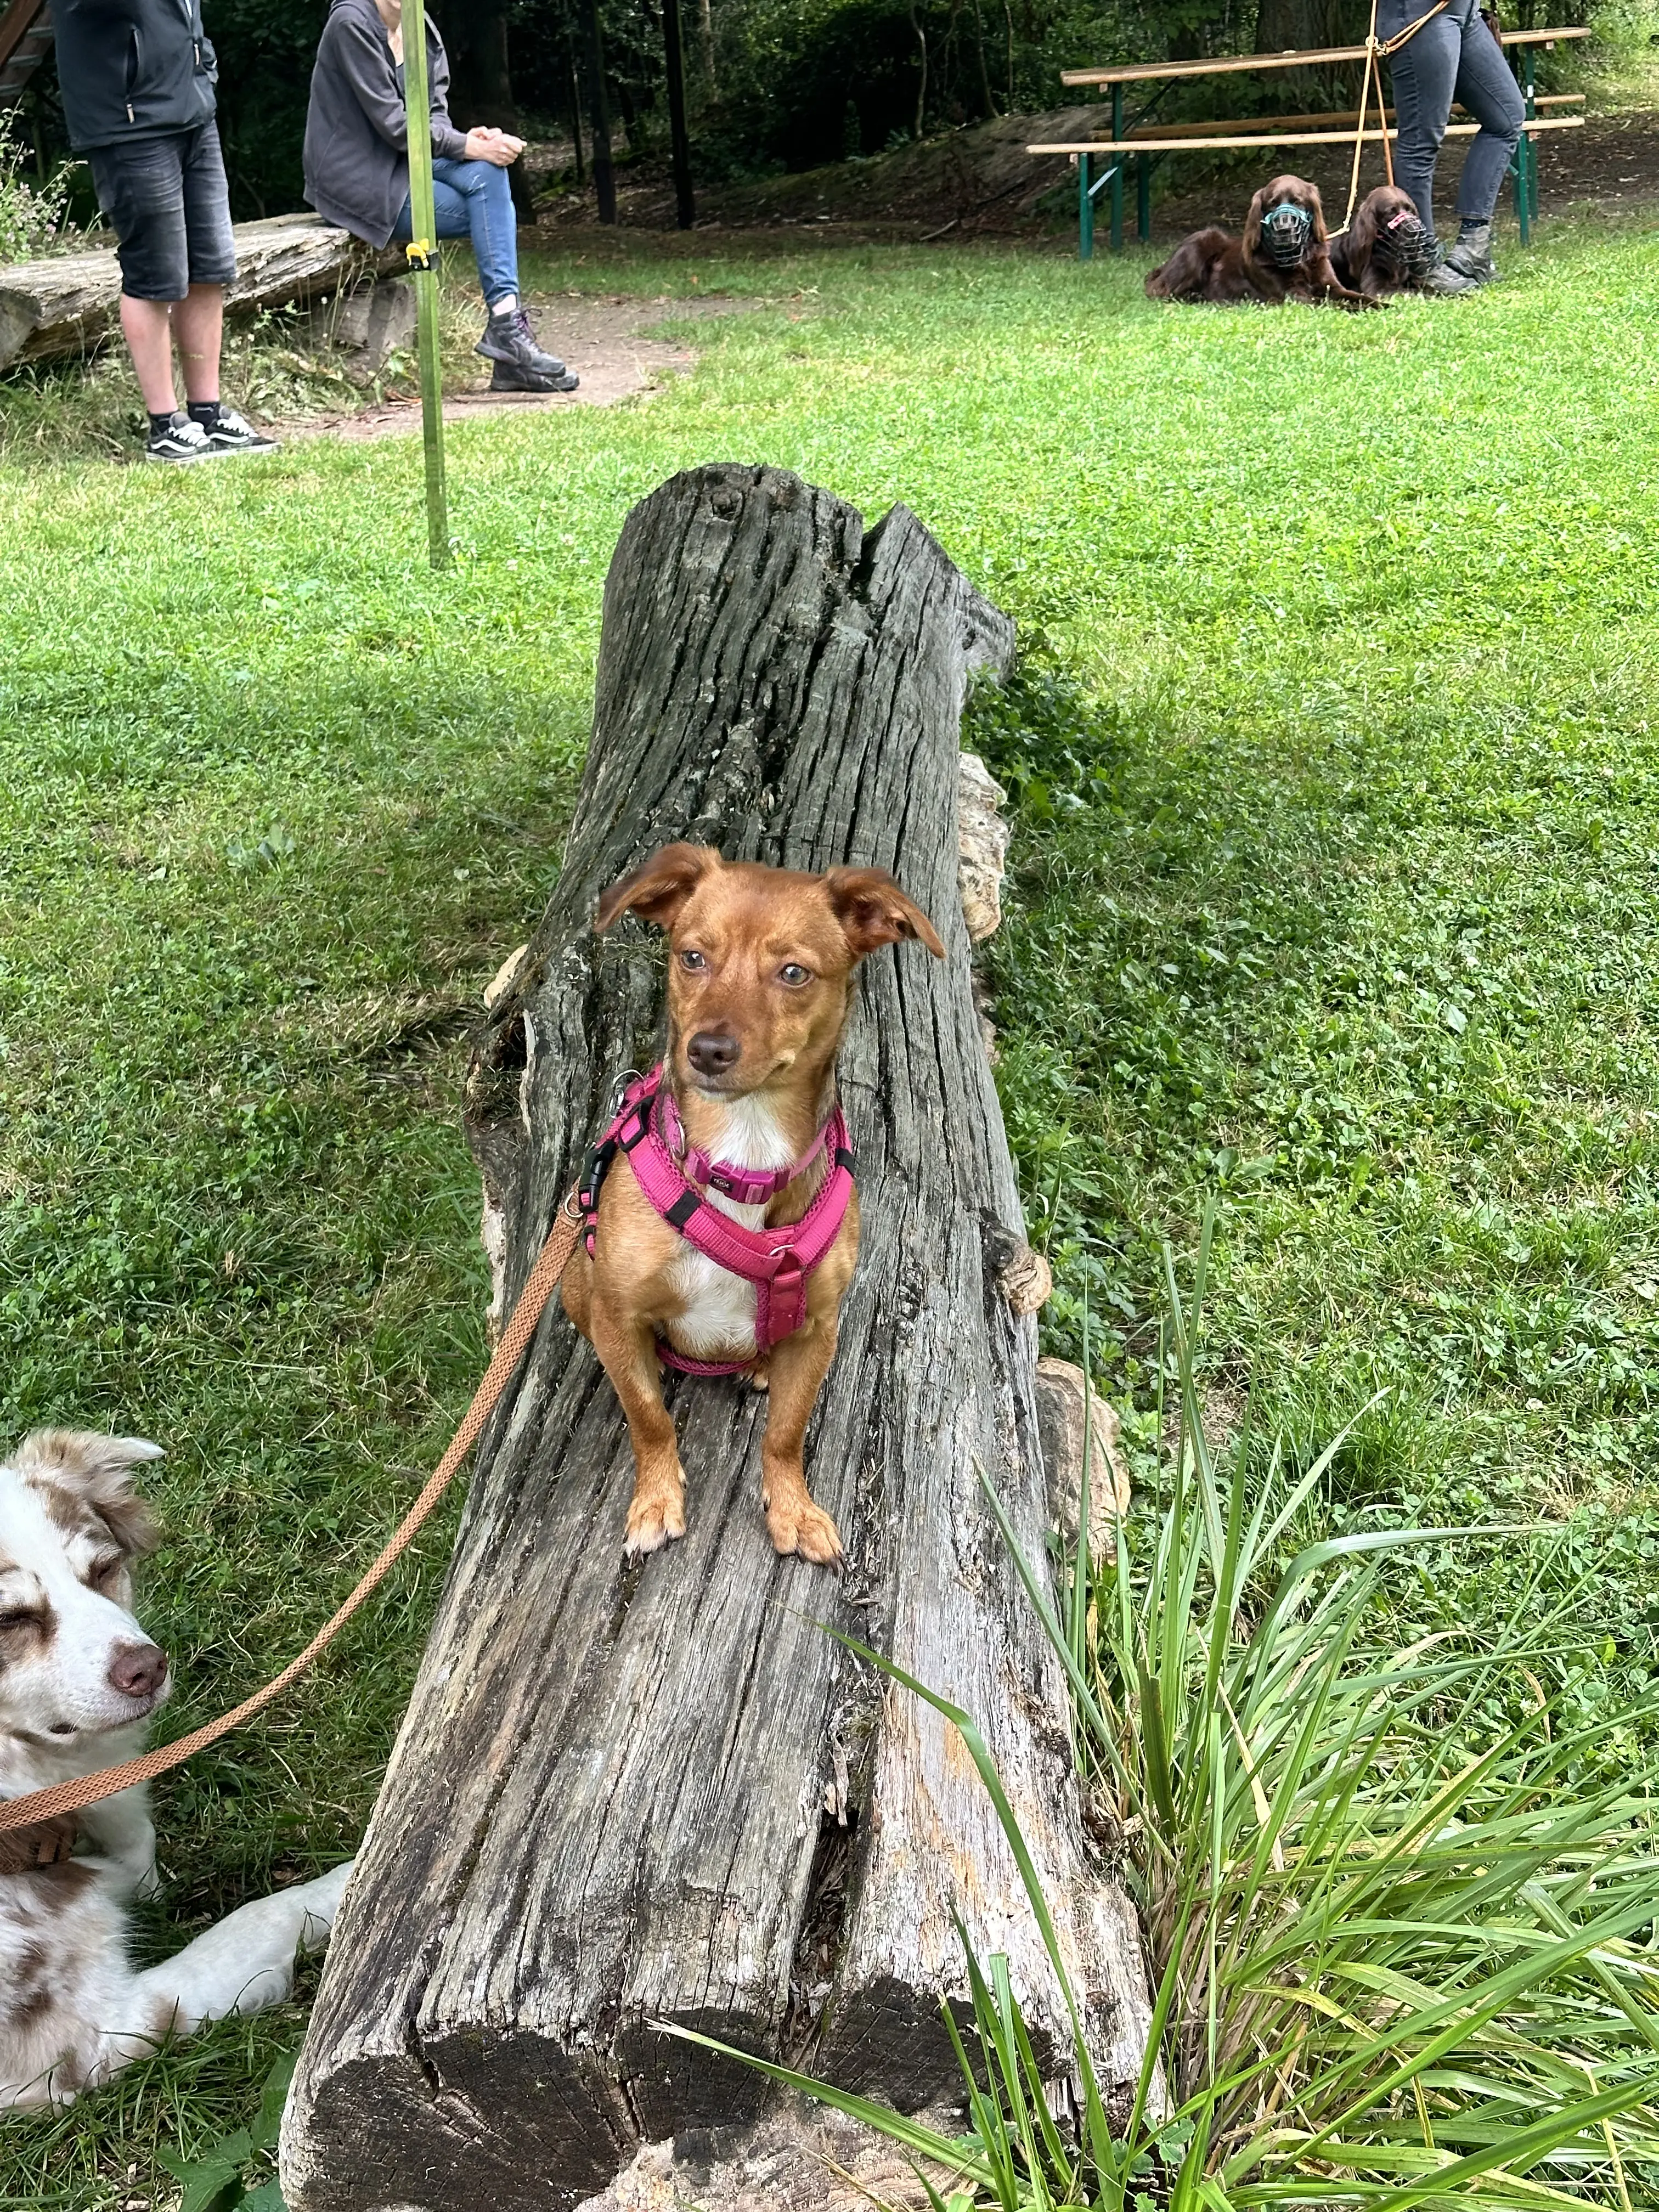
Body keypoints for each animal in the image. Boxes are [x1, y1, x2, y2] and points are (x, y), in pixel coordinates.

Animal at [1, 1433, 354, 2106]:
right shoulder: (95, 2040)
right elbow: (261, 1915)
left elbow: (133, 1855)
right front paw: (355, 1882)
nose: (147, 1669)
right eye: (11, 1619)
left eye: (103, 1571)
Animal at [562, 836, 942, 1566]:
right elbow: (649, 1420)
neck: (744, 1155)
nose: (707, 1049)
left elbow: (785, 1434)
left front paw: (793, 1509)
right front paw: (656, 1501)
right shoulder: (618, 1312)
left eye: (793, 973)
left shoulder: (820, 1326)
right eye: (692, 958)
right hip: (574, 1281)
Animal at [1141, 177, 1380, 309]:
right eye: (1273, 204)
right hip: (1201, 241)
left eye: (1298, 202)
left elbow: (1358, 297)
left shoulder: (1332, 285)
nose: (1284, 229)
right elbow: (1328, 303)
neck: (1299, 260)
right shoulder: (1291, 296)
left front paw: (1380, 305)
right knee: (1159, 290)